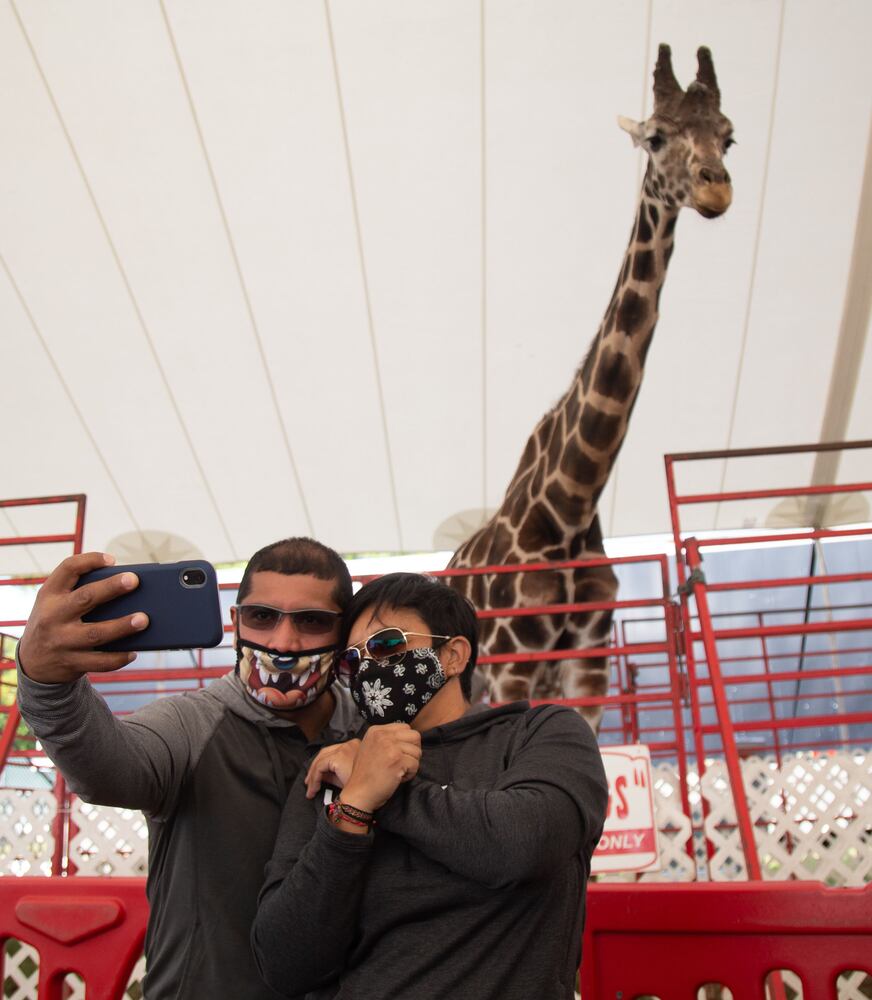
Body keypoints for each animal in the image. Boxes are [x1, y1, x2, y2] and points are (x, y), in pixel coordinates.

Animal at [446, 45, 732, 736]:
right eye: (656, 137)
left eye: (728, 136)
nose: (716, 185)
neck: (572, 503)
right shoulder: (513, 662)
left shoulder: (589, 664)